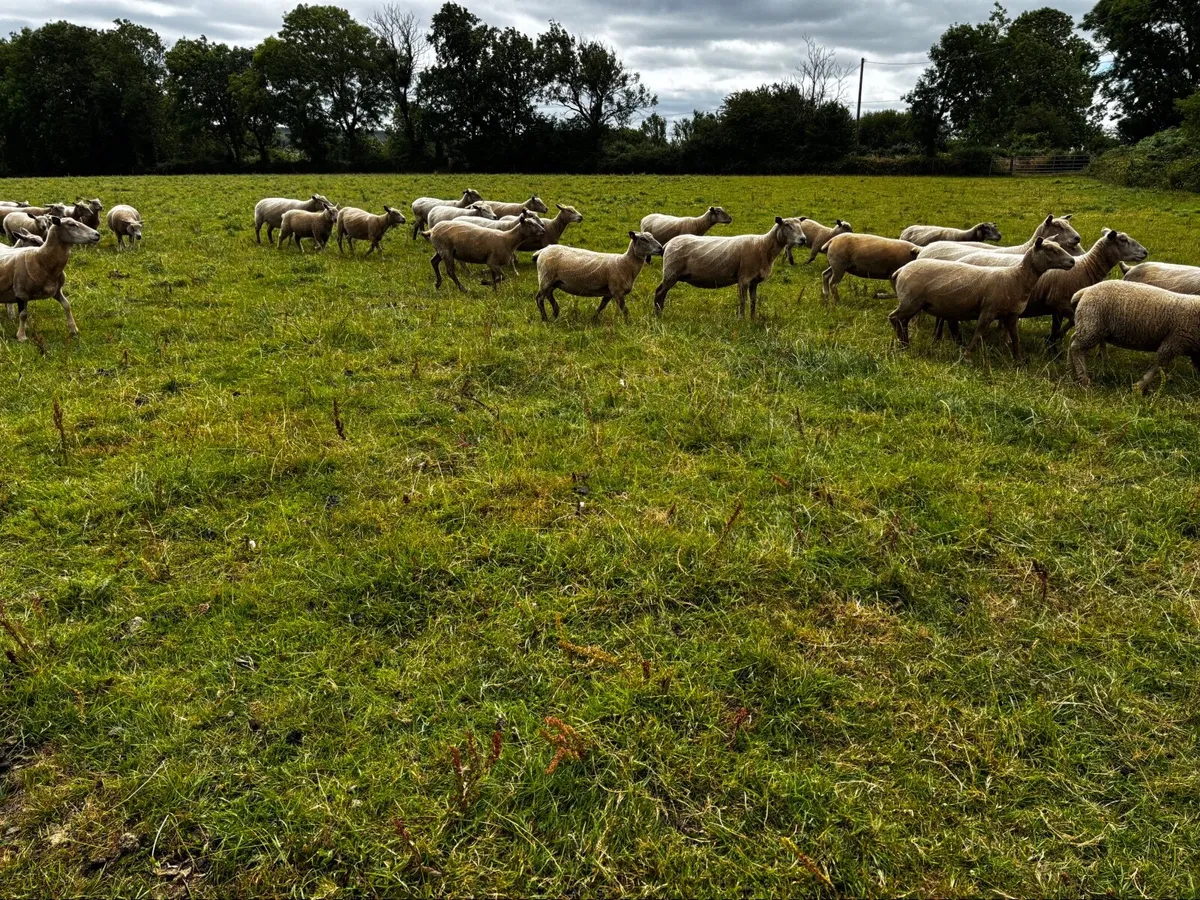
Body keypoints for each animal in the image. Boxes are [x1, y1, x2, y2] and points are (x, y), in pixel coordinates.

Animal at [533, 231, 664, 322]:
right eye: (643, 239)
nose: (661, 248)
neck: (625, 264)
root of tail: (543, 250)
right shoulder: (617, 292)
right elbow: (625, 310)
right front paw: (628, 323)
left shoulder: (609, 293)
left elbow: (601, 307)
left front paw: (593, 319)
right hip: (545, 278)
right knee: (539, 298)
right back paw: (545, 318)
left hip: (554, 281)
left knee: (549, 295)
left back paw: (556, 313)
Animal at [652, 216, 807, 319]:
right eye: (787, 225)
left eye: (800, 225)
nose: (803, 239)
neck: (763, 246)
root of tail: (668, 244)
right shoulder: (744, 278)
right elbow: (743, 301)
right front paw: (741, 320)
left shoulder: (754, 281)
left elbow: (753, 301)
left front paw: (753, 319)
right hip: (671, 272)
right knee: (660, 292)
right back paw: (658, 315)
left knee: (662, 293)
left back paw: (660, 312)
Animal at [889, 238, 1077, 361]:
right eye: (1051, 250)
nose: (1072, 261)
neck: (1016, 278)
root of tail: (900, 270)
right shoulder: (988, 311)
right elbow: (979, 333)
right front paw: (966, 356)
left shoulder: (1011, 315)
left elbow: (1015, 337)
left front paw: (1019, 360)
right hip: (910, 301)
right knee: (894, 318)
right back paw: (904, 344)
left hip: (914, 303)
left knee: (902, 321)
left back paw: (905, 343)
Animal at [1069, 281, 1200, 391]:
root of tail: (1086, 290)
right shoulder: (1174, 341)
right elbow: (1159, 365)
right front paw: (1138, 387)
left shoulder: (1192, 349)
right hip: (1092, 326)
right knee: (1076, 349)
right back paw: (1084, 379)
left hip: (1088, 325)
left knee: (1072, 341)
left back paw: (1071, 369)